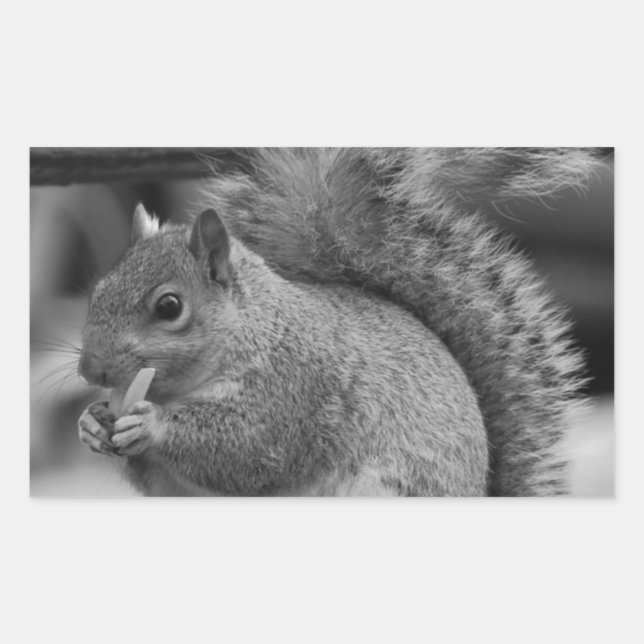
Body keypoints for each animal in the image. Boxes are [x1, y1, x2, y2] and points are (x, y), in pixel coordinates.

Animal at [77, 148, 600, 496]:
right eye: (97, 291)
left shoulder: (295, 390)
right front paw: (92, 423)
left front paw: (151, 423)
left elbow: (249, 449)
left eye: (169, 306)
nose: (90, 371)